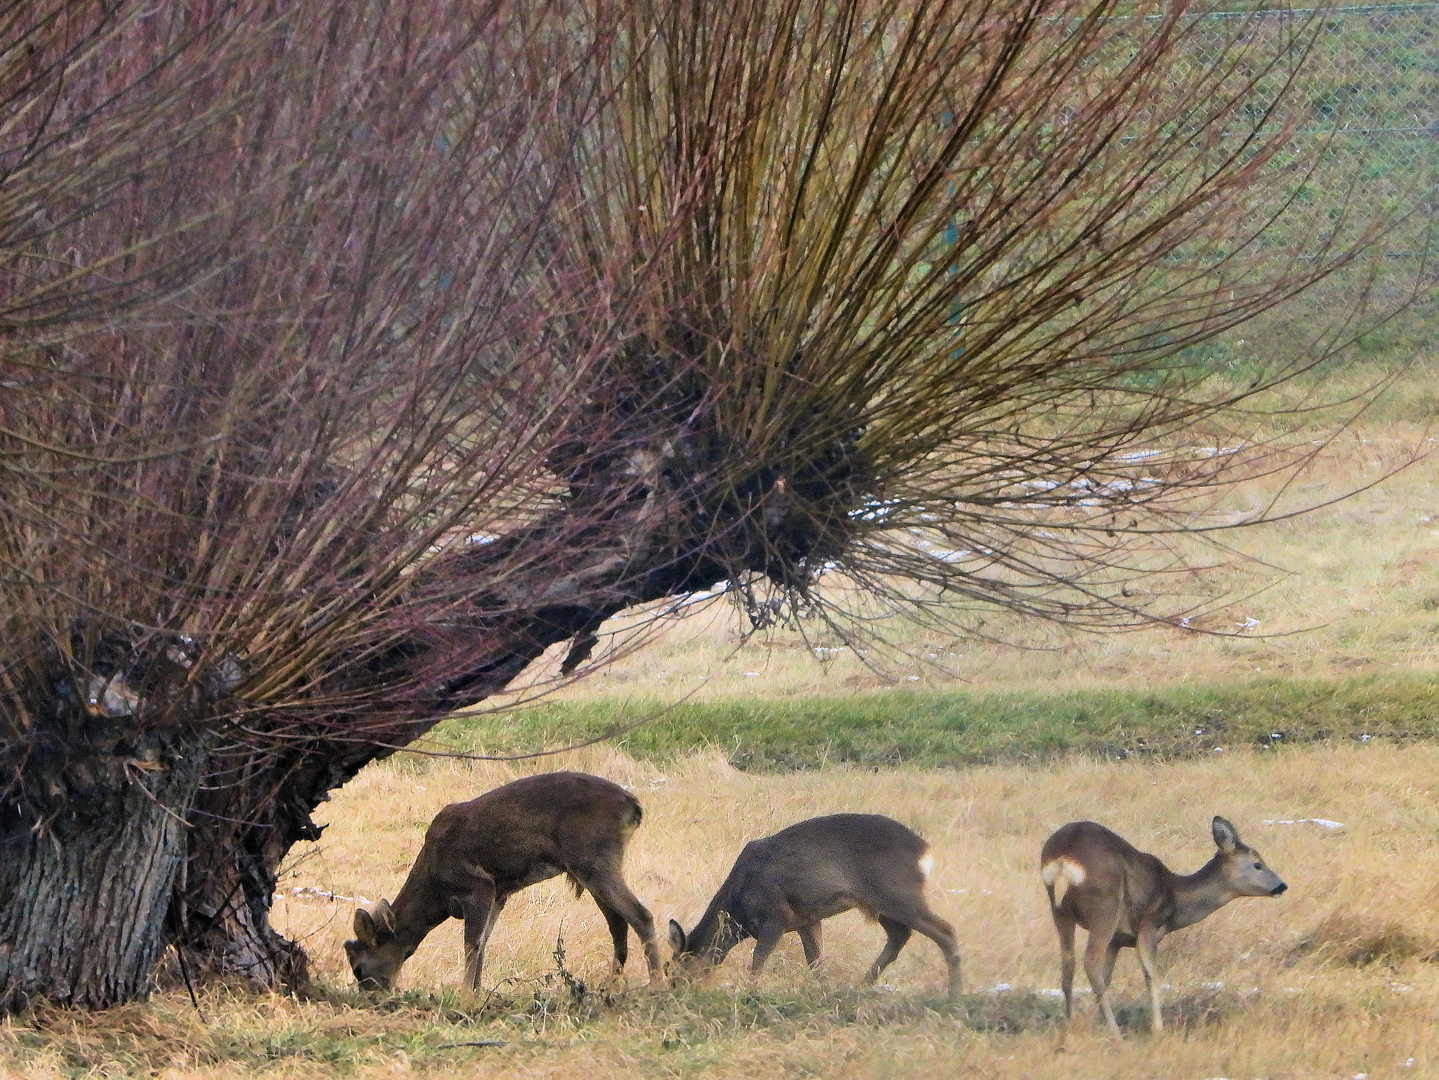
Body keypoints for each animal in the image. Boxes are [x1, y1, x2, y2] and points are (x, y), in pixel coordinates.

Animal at [342, 770, 661, 995]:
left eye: (358, 968)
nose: (370, 996)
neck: (435, 890)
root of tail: (633, 806)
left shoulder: (478, 886)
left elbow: (471, 944)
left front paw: (465, 997)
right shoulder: (500, 893)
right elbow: (483, 942)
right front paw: (479, 992)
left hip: (593, 857)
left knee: (640, 915)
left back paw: (656, 984)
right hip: (588, 866)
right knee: (618, 922)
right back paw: (612, 984)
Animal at [664, 816, 961, 1000]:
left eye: (674, 972)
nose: (675, 996)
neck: (738, 912)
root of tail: (925, 851)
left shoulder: (776, 916)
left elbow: (757, 962)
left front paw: (750, 994)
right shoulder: (806, 920)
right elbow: (815, 963)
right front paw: (823, 993)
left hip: (896, 893)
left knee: (945, 931)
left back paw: (954, 993)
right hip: (879, 905)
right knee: (900, 936)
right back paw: (860, 986)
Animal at [1041, 816, 1289, 1041]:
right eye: (1257, 864)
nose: (1282, 886)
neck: (1175, 897)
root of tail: (1064, 856)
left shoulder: (1117, 939)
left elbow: (1108, 977)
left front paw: (1093, 1021)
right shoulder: (1148, 928)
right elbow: (1151, 976)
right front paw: (1158, 1029)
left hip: (1060, 909)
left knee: (1069, 963)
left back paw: (1070, 1023)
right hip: (1105, 906)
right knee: (1090, 962)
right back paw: (1116, 1034)